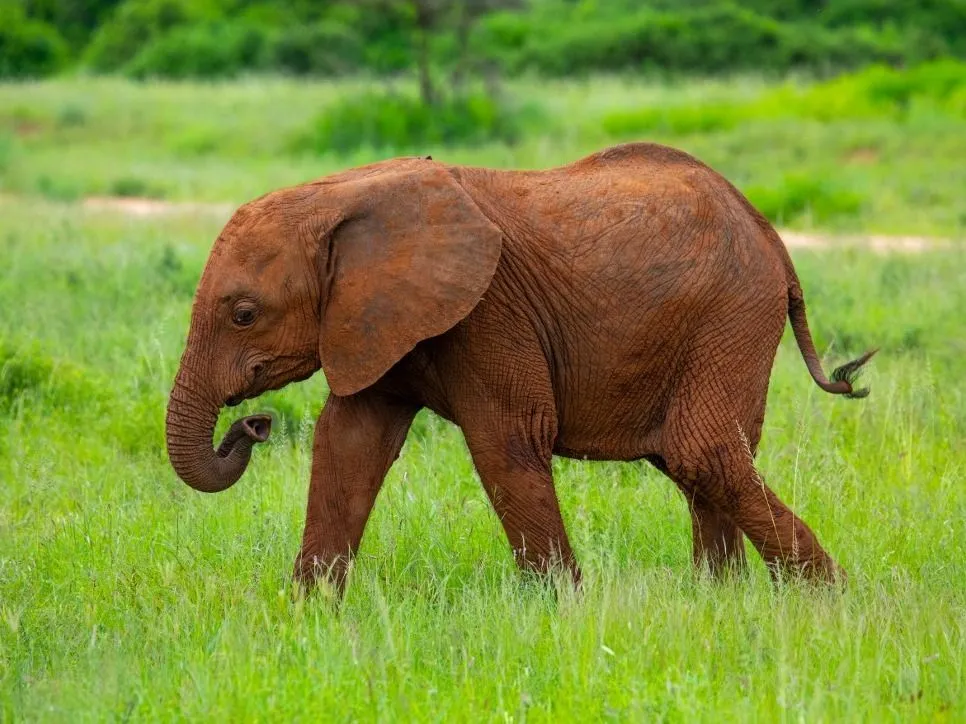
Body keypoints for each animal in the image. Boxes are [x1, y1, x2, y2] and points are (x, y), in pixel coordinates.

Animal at [165, 143, 874, 593]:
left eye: (244, 314)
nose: (252, 425)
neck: (341, 192)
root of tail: (772, 236)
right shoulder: (376, 320)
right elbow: (349, 444)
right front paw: (309, 614)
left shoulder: (487, 312)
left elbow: (507, 441)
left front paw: (563, 610)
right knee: (704, 461)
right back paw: (718, 601)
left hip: (731, 313)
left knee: (705, 454)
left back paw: (835, 604)